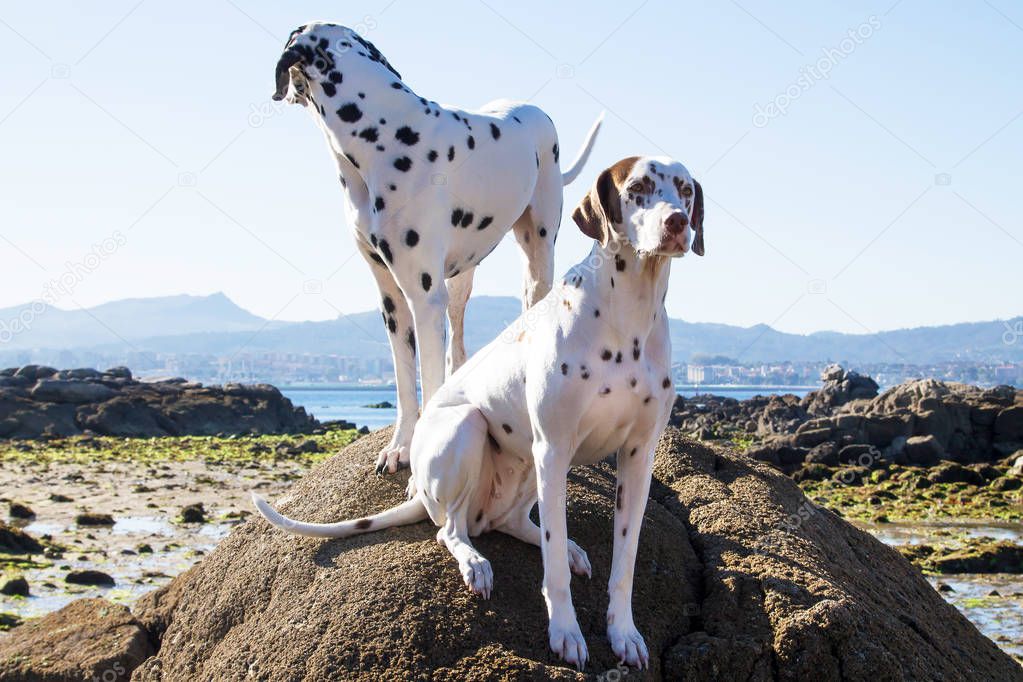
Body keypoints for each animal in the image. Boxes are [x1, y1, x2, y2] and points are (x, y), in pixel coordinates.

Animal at [253, 156, 703, 670]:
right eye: (639, 188)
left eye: (685, 190)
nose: (678, 222)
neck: (629, 313)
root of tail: (423, 493)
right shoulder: (554, 448)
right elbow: (551, 572)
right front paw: (565, 631)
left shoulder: (637, 457)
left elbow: (624, 563)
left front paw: (624, 632)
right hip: (469, 431)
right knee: (450, 529)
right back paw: (474, 561)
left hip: (529, 466)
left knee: (516, 524)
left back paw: (564, 548)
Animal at [276, 24, 601, 478]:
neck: (381, 134)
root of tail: (535, 110)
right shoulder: (393, 301)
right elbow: (405, 383)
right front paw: (398, 447)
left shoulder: (423, 296)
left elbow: (427, 381)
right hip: (460, 279)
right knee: (459, 341)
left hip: (537, 256)